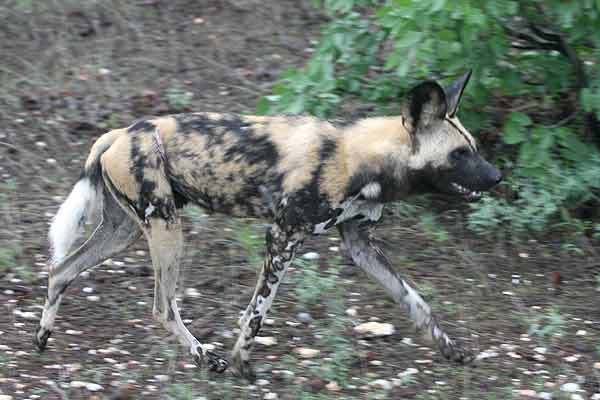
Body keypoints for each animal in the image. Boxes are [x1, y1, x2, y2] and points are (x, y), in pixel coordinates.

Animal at [34, 70, 502, 380]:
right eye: (460, 154)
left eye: (473, 148)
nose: (497, 177)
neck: (361, 161)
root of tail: (119, 132)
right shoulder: (281, 238)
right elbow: (256, 313)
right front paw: (242, 364)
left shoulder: (360, 244)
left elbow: (415, 301)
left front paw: (450, 349)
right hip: (166, 229)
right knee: (162, 307)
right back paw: (207, 358)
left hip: (125, 231)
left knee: (62, 270)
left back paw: (42, 338)